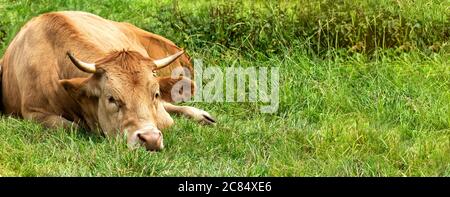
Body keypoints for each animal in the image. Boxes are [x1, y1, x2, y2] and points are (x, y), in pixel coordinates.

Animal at [0, 10, 215, 152]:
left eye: (154, 94)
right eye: (111, 98)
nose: (150, 139)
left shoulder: (161, 116)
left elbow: (166, 120)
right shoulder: (33, 113)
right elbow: (72, 127)